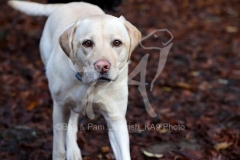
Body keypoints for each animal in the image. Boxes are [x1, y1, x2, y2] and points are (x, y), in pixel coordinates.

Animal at [8, 0, 142, 160]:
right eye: (87, 43)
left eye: (117, 43)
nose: (102, 66)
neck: (89, 85)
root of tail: (67, 4)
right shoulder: (60, 108)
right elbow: (58, 149)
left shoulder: (115, 118)